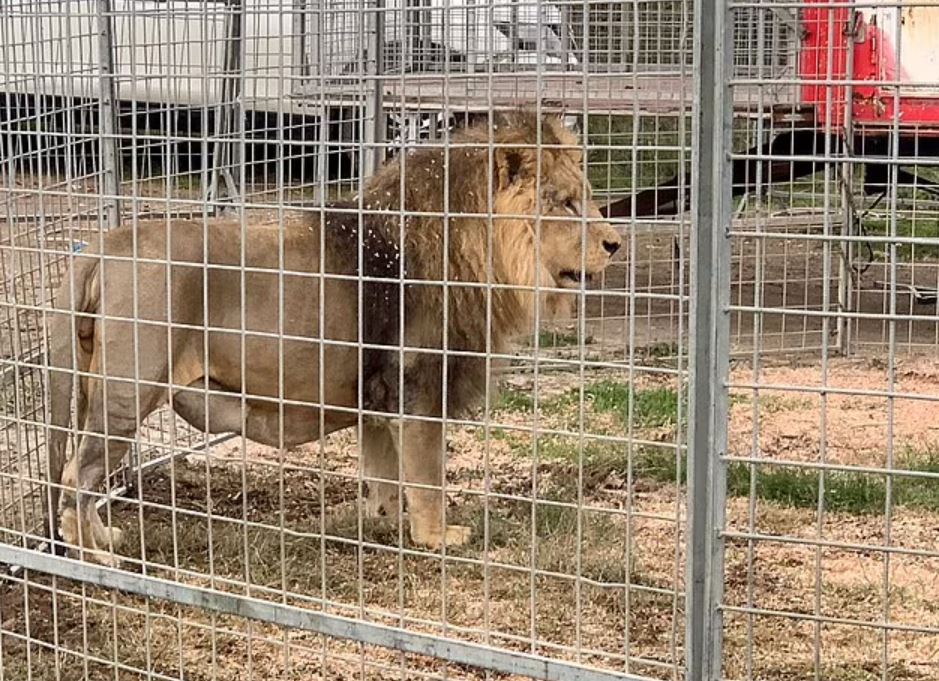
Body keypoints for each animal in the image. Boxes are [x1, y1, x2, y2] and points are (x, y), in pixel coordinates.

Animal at [44, 111, 620, 564]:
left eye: (589, 199)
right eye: (566, 203)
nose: (615, 244)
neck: (475, 248)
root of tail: (104, 246)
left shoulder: (378, 398)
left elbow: (385, 473)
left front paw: (384, 524)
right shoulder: (418, 388)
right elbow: (428, 477)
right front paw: (438, 538)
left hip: (97, 386)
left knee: (82, 477)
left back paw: (105, 539)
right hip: (127, 392)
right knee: (77, 475)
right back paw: (95, 558)